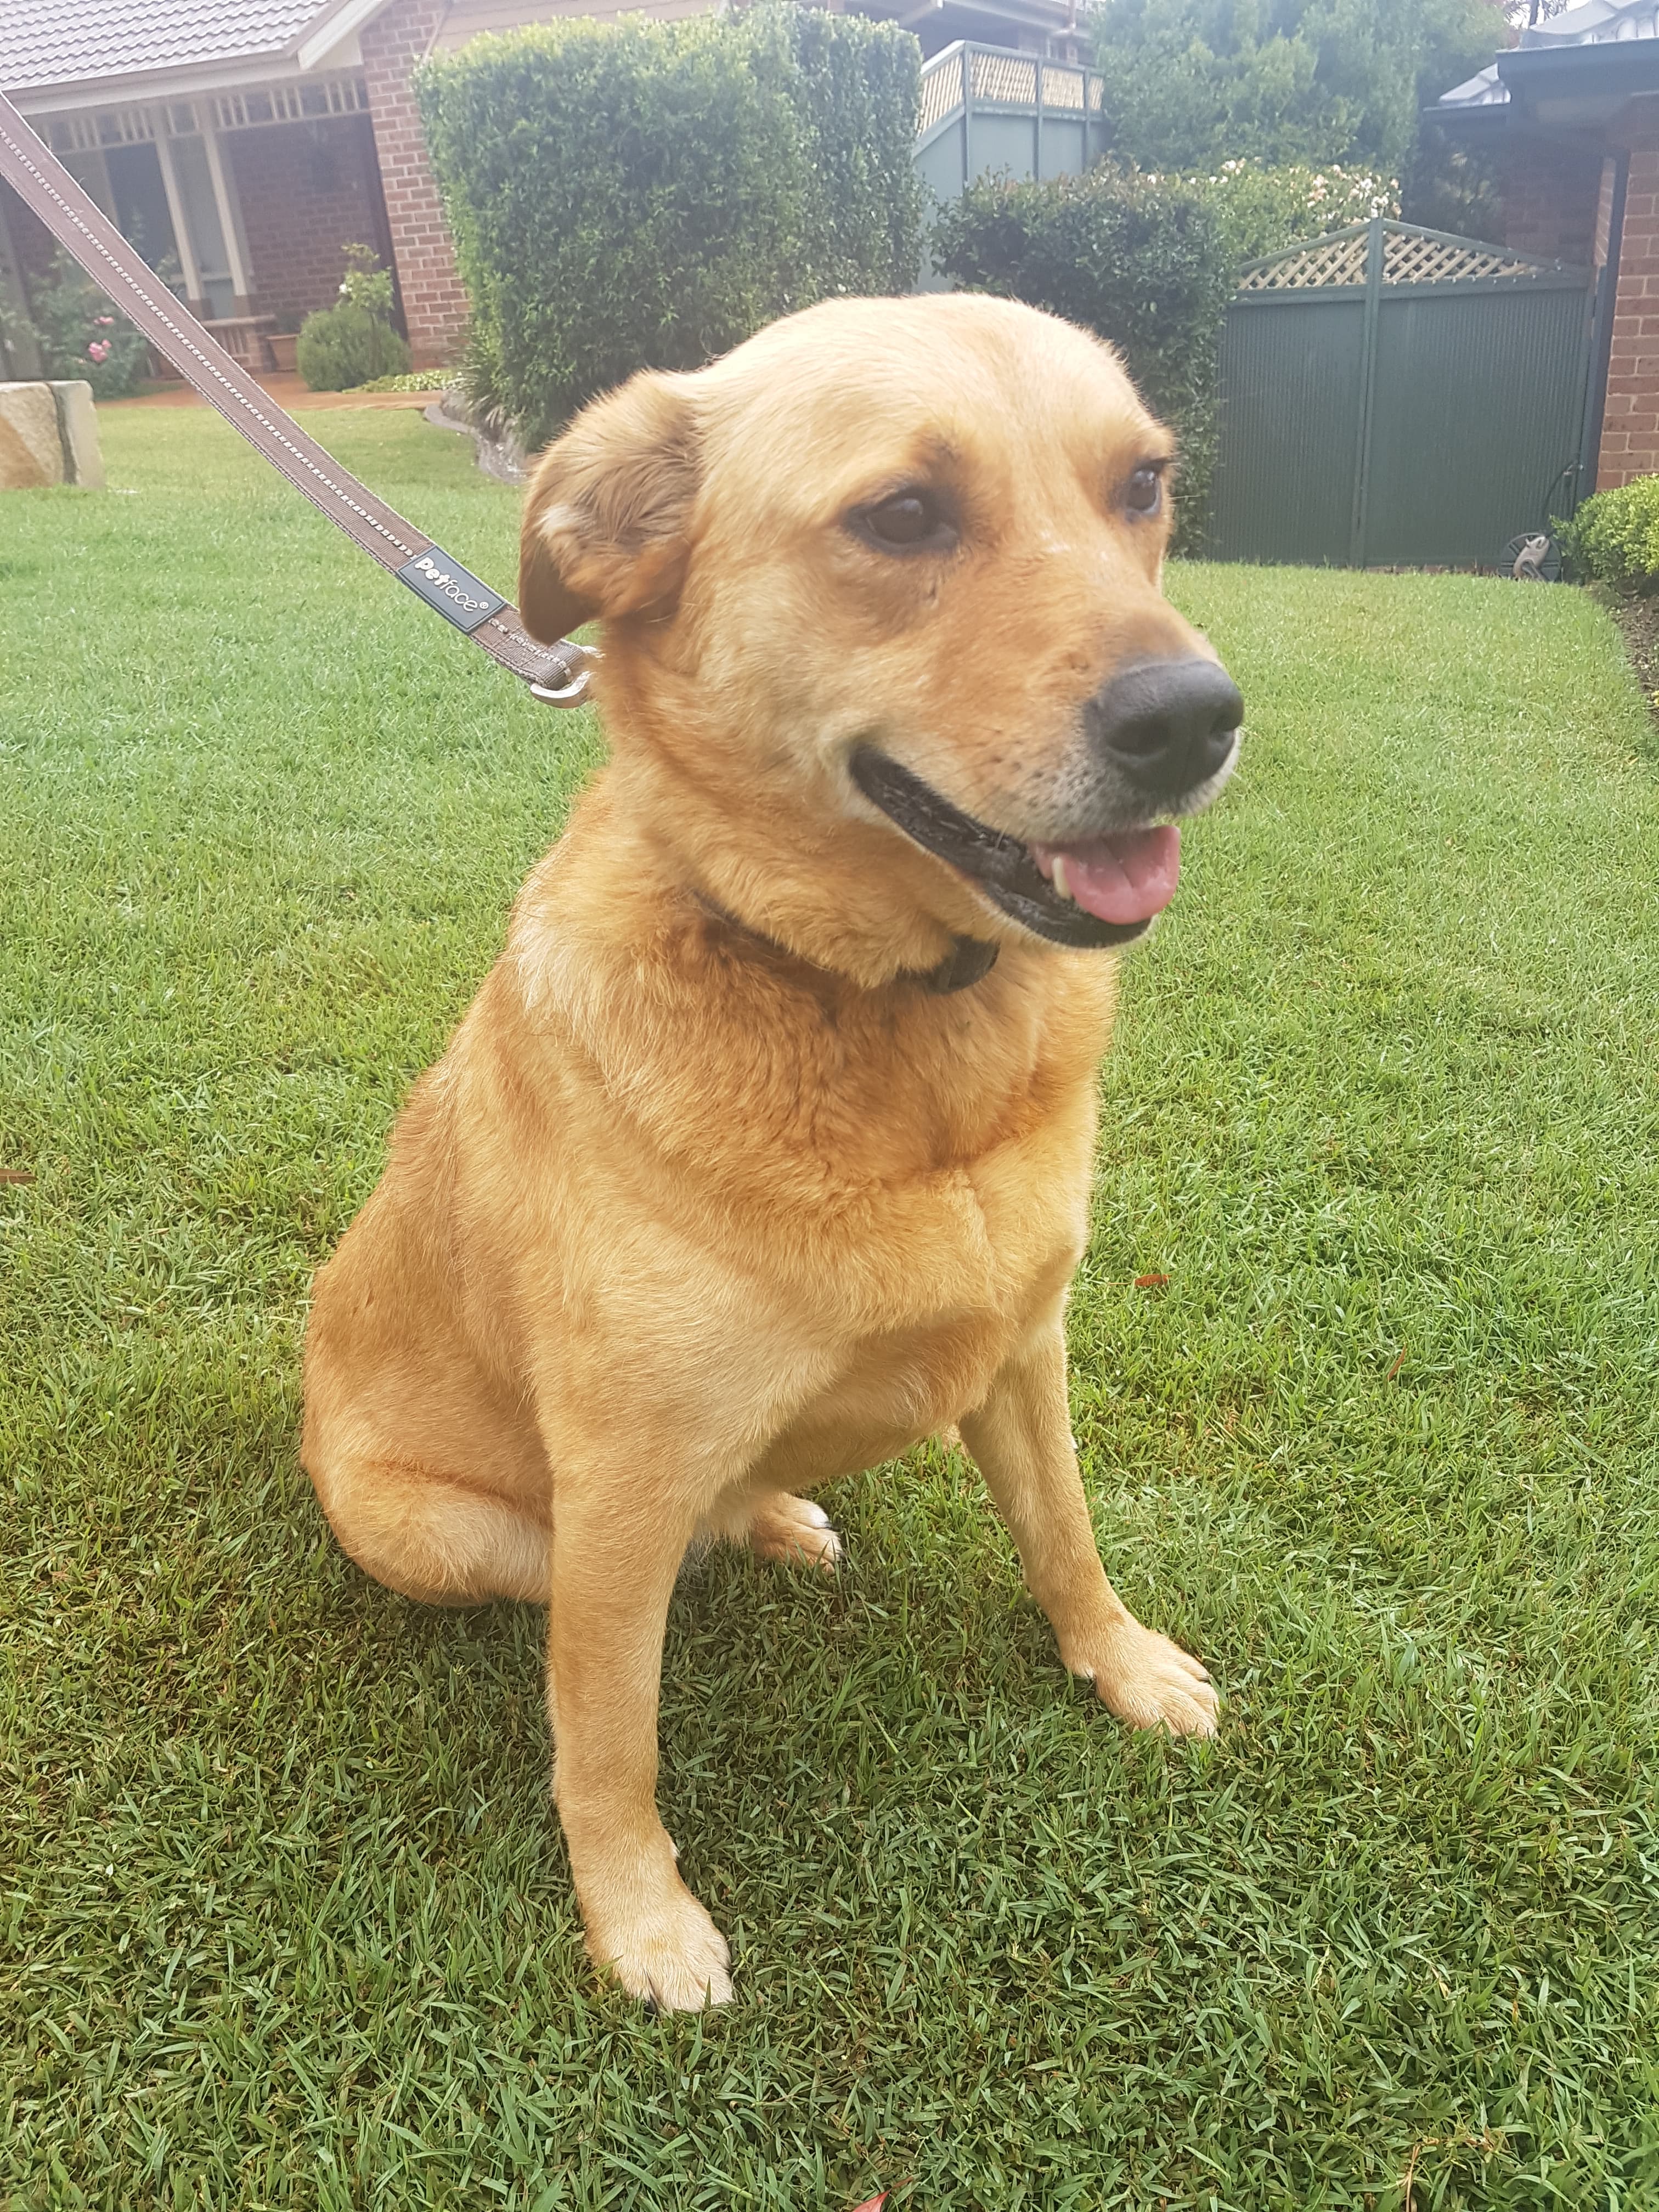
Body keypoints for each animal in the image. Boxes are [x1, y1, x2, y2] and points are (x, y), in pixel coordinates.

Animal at [305, 290, 1248, 2008]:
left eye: (1141, 485)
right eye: (904, 515)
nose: (1195, 720)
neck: (880, 1019)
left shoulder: (1027, 1348)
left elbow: (1068, 1539)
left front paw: (1123, 1665)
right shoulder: (617, 1490)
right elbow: (604, 1740)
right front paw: (639, 1916)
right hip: (459, 1534)